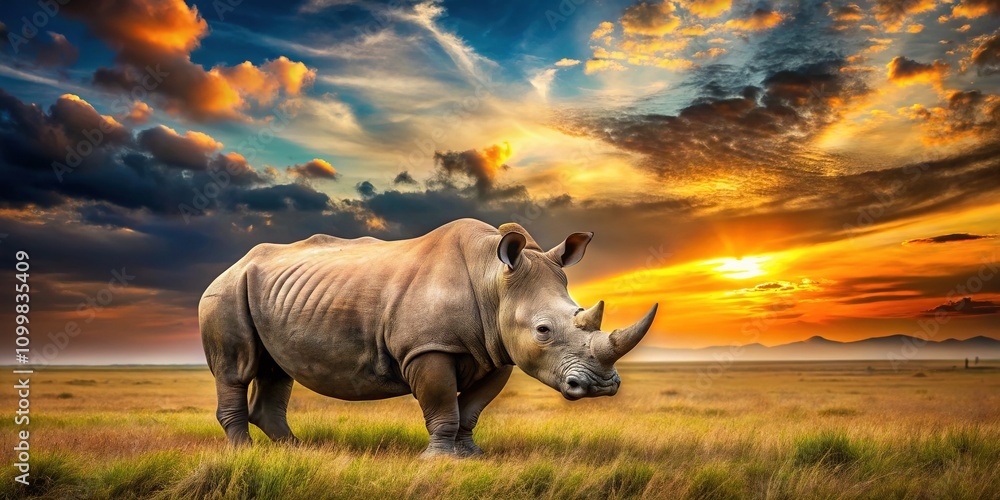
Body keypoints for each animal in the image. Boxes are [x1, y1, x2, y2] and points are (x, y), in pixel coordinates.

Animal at [199, 218, 658, 457]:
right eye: (543, 330)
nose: (601, 386)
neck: (494, 279)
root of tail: (230, 266)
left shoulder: (497, 351)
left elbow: (471, 409)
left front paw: (471, 456)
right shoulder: (428, 349)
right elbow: (442, 405)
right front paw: (440, 460)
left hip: (268, 294)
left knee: (277, 369)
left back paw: (297, 451)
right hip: (225, 292)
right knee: (237, 369)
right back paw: (245, 453)